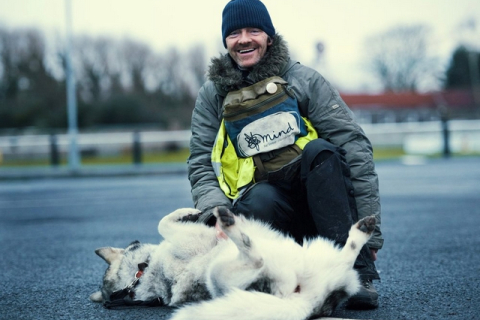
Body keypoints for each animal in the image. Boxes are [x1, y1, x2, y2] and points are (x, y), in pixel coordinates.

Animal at [89, 208, 376, 320]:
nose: (135, 240)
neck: (141, 274)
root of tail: (308, 302)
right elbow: (163, 224)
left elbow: (164, 222)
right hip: (219, 272)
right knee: (254, 256)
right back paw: (230, 224)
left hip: (318, 252)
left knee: (347, 256)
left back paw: (362, 231)